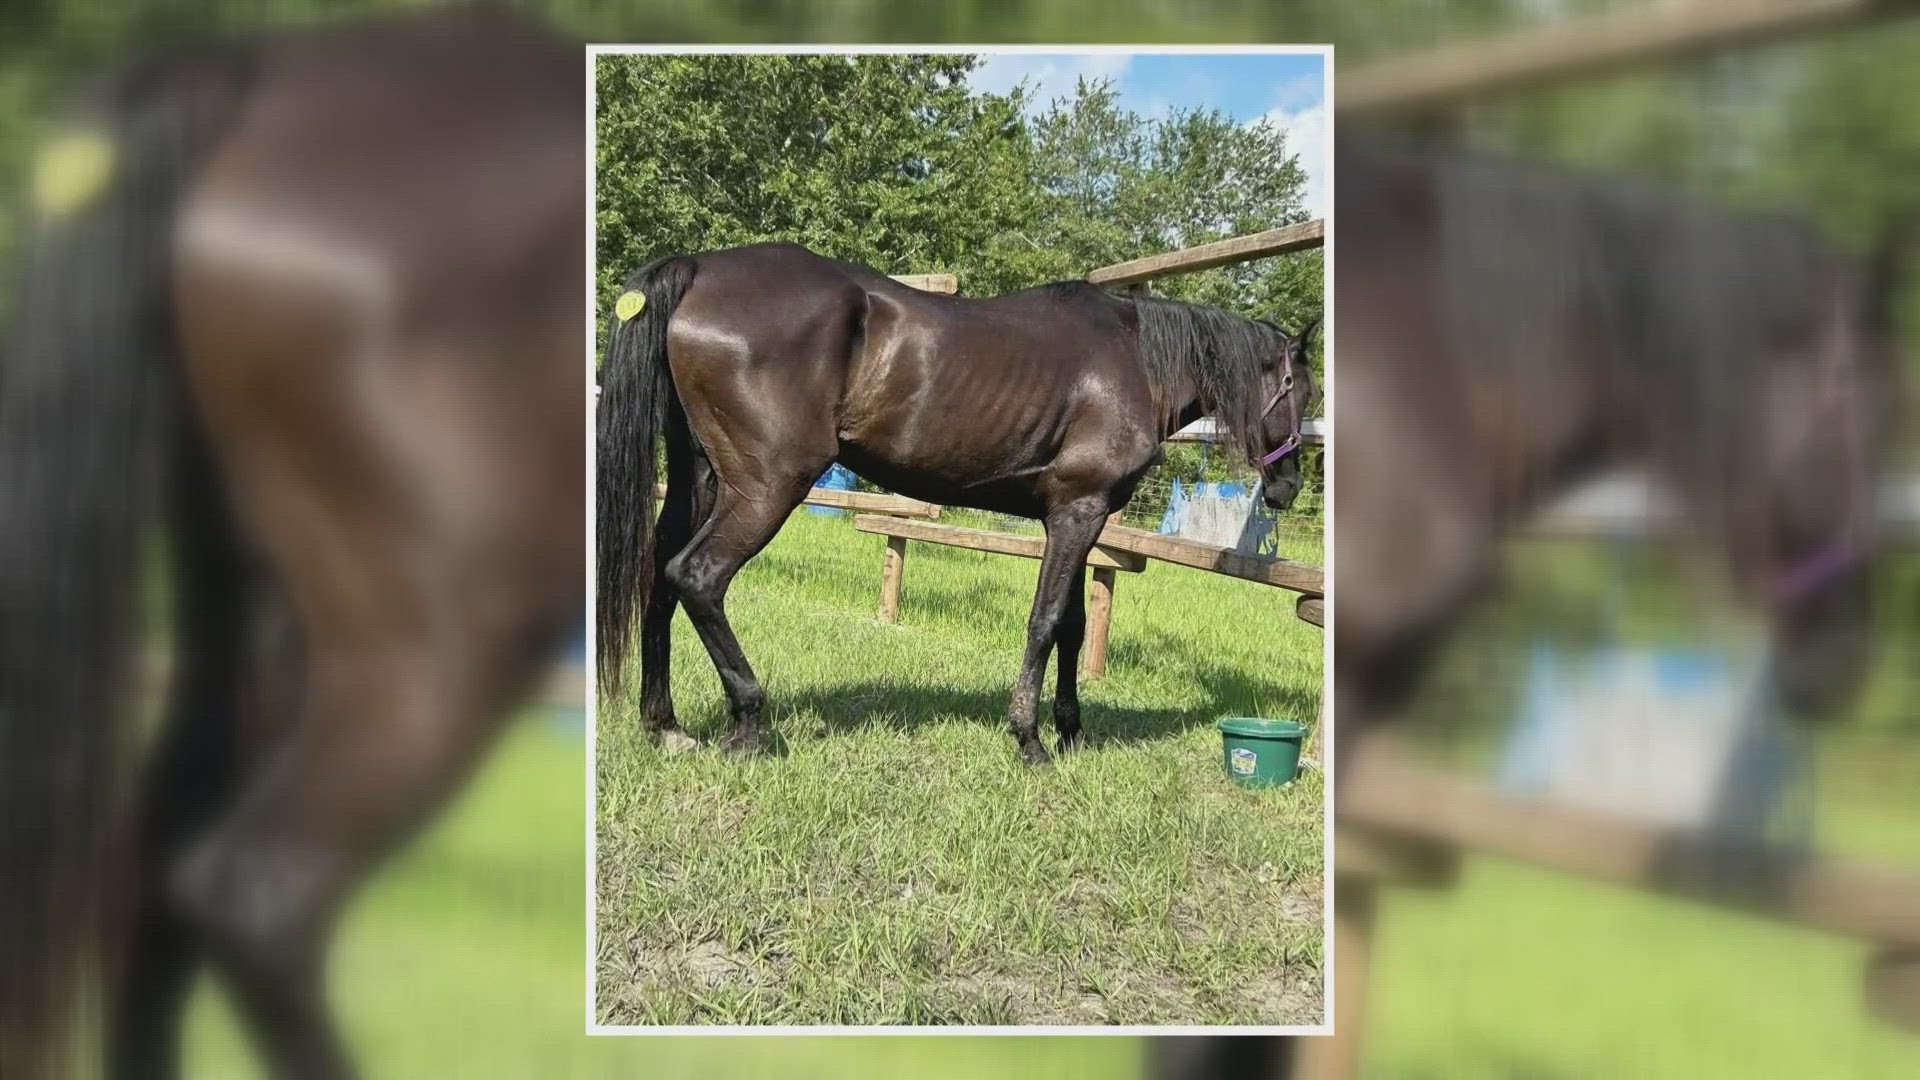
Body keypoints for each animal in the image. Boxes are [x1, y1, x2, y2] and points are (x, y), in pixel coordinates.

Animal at [595, 245, 1320, 764]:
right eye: (1301, 391)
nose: (1287, 488)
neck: (1132, 361)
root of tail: (699, 269)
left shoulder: (1073, 518)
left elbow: (1073, 625)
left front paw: (1072, 733)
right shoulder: (1078, 512)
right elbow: (1045, 621)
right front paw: (1029, 739)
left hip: (701, 480)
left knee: (659, 579)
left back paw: (665, 725)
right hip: (767, 486)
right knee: (698, 576)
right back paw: (748, 720)